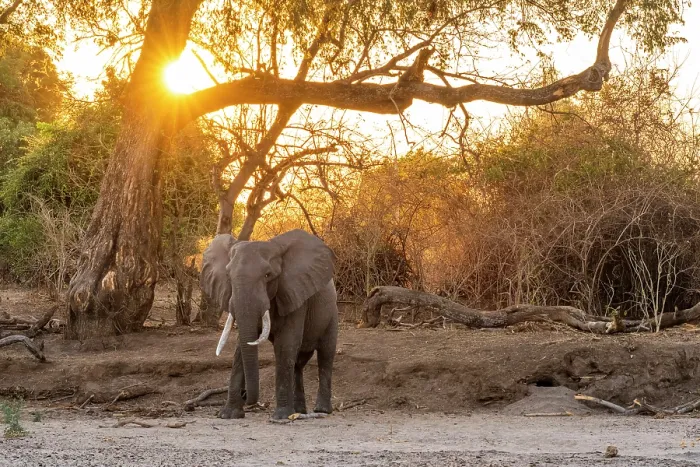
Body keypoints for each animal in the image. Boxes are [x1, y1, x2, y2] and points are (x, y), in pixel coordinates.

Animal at [200, 229, 338, 420]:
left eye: (267, 275)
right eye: (228, 276)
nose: (246, 396)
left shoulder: (294, 294)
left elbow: (285, 344)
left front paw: (280, 417)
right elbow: (241, 347)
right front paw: (228, 415)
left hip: (332, 313)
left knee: (325, 354)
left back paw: (321, 411)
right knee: (298, 363)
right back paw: (299, 412)